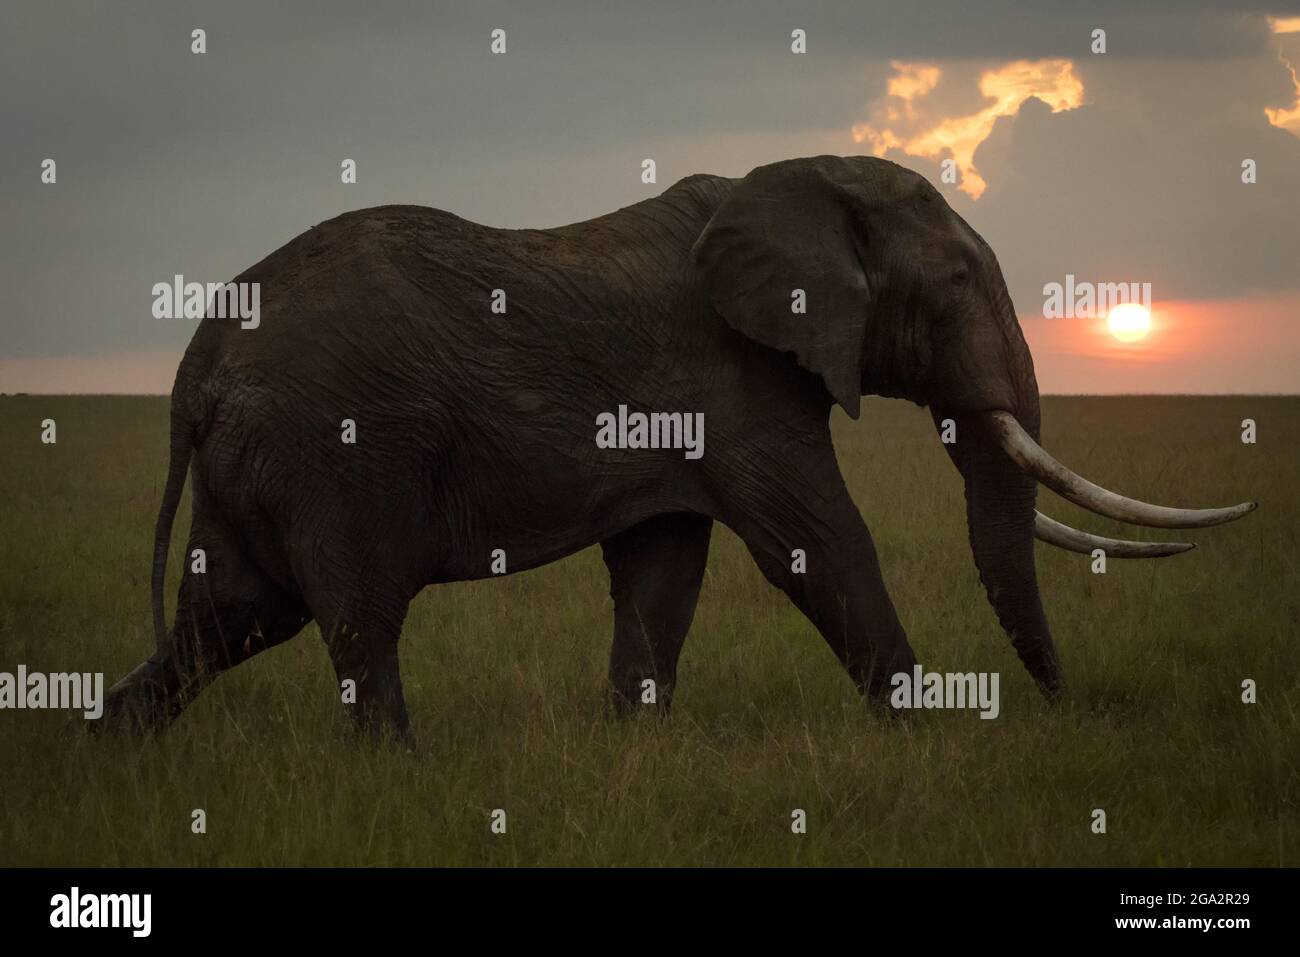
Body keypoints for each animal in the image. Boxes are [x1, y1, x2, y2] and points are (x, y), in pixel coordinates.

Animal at [101, 155, 1256, 737]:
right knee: (352, 620)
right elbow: (819, 541)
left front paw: (630, 749)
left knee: (232, 617)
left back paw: (107, 753)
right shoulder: (737, 379)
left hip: (263, 461)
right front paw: (935, 735)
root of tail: (198, 359)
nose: (1063, 712)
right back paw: (398, 774)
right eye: (960, 281)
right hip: (336, 447)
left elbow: (665, 568)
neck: (795, 183)